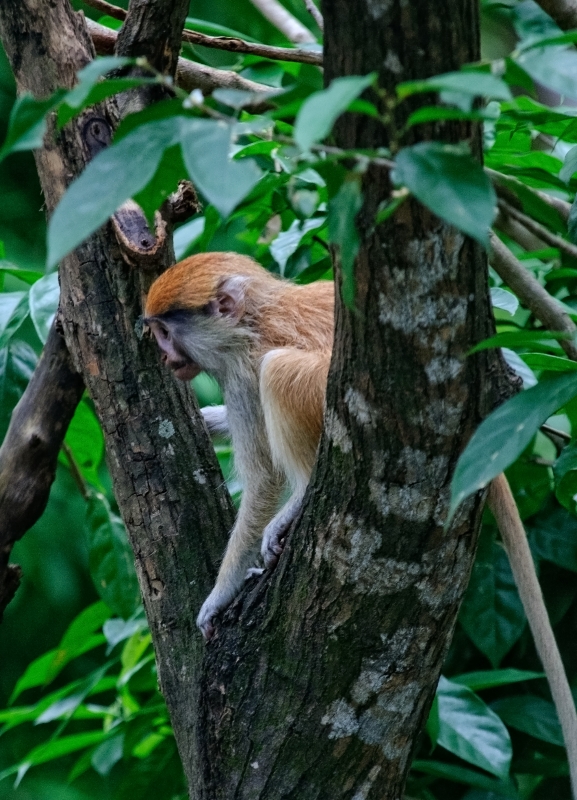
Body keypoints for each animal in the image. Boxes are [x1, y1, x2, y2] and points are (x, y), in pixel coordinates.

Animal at [144, 253, 332, 640]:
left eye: (166, 333)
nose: (165, 358)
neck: (251, 320)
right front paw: (211, 420)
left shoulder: (241, 373)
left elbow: (262, 479)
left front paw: (219, 597)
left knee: (278, 369)